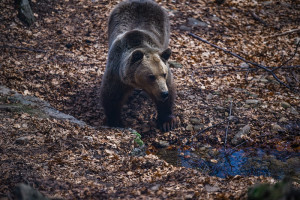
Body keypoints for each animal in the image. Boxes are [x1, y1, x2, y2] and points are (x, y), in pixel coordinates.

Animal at [99, 0, 177, 132]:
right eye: (151, 76)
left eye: (164, 74)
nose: (163, 93)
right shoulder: (116, 73)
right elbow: (111, 96)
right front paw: (115, 121)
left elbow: (169, 91)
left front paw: (167, 122)